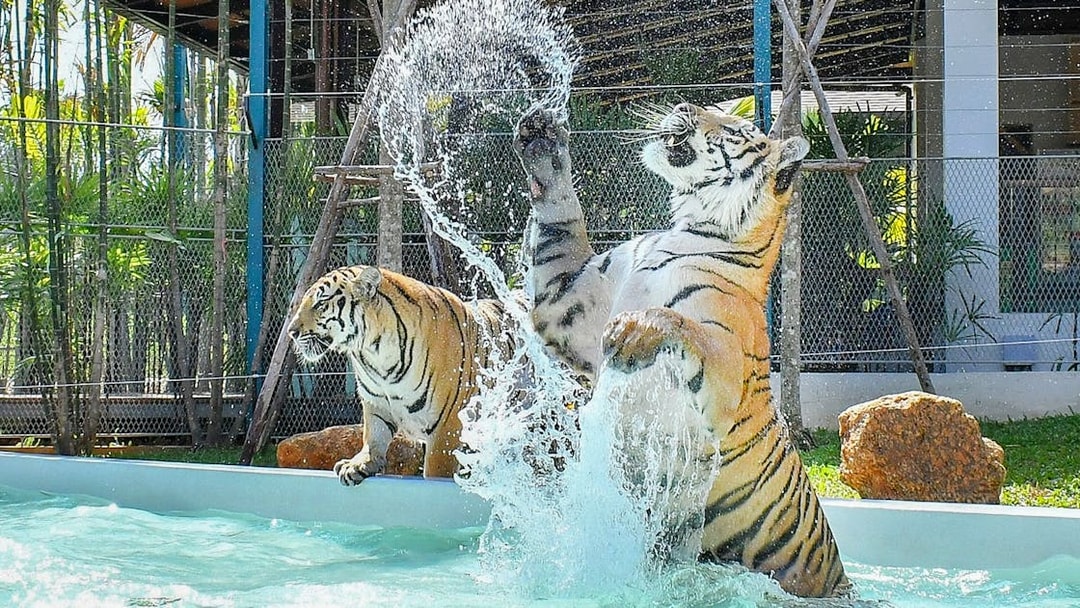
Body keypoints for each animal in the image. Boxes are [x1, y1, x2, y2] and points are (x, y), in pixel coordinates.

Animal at [287, 265, 509, 485]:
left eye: (321, 302)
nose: (291, 332)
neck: (375, 351)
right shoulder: (375, 402)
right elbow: (374, 436)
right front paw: (357, 464)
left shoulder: (447, 425)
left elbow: (437, 471)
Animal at [513, 104, 851, 598]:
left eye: (734, 129)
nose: (682, 107)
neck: (686, 232)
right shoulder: (567, 303)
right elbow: (559, 223)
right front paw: (542, 140)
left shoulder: (724, 373)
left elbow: (686, 327)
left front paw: (635, 331)